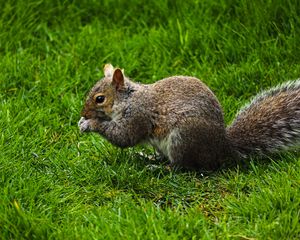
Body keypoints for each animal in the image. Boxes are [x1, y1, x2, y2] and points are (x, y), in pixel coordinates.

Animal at [78, 62, 300, 170]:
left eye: (99, 99)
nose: (83, 113)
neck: (128, 98)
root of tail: (222, 148)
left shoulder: (138, 115)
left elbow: (124, 137)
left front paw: (90, 123)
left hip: (183, 139)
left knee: (183, 166)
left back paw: (160, 168)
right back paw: (148, 157)